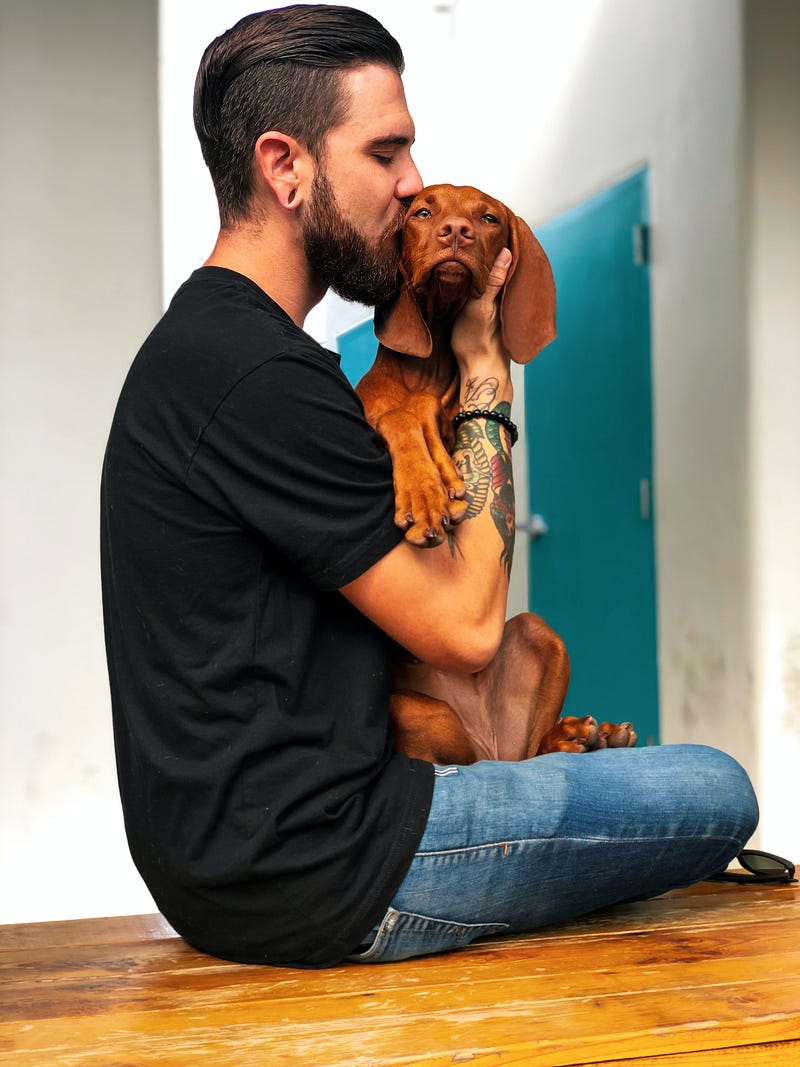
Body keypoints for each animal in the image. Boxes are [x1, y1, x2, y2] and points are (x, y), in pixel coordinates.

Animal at [354, 185, 635, 768]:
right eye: (423, 211)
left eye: (486, 218)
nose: (456, 233)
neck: (432, 363)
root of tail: (487, 740)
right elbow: (399, 415)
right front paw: (425, 489)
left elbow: (428, 414)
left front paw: (435, 473)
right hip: (412, 712)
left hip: (539, 633)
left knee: (528, 754)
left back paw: (582, 736)